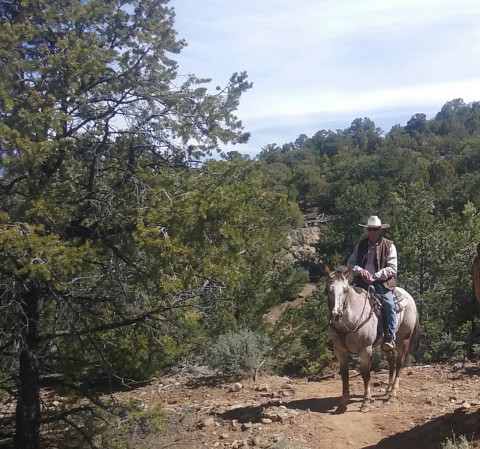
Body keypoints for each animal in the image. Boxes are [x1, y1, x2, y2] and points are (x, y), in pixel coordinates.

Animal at [324, 266, 418, 412]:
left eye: (345, 290)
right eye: (328, 290)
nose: (336, 315)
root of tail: (408, 296)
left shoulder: (366, 349)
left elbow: (366, 374)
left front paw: (366, 402)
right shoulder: (340, 351)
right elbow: (344, 374)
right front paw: (343, 401)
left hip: (404, 338)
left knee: (399, 363)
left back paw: (392, 394)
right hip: (386, 343)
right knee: (391, 360)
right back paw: (388, 390)